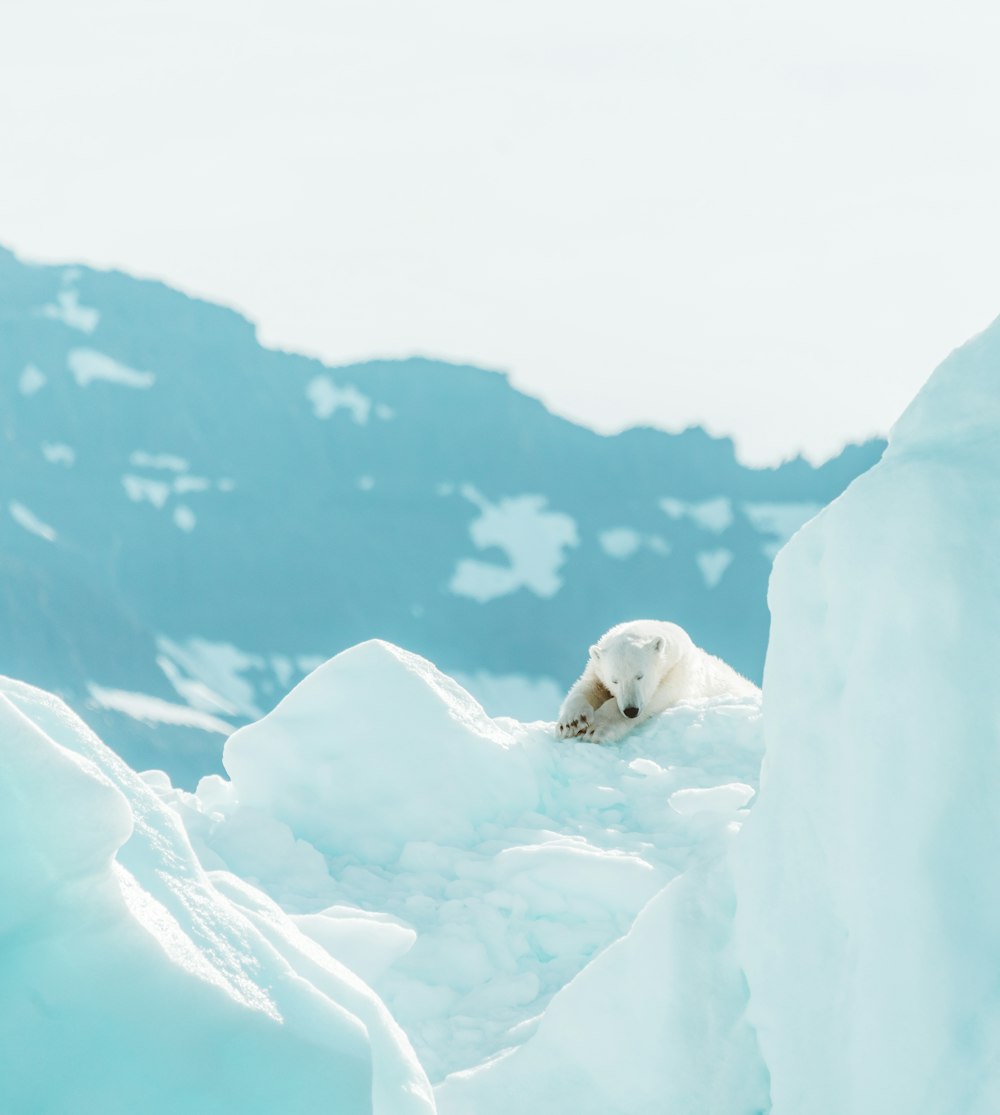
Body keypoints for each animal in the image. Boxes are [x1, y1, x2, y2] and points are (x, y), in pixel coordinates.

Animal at [552, 619, 758, 740]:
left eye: (640, 675)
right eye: (614, 680)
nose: (631, 710)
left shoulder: (679, 674)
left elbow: (656, 697)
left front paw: (597, 728)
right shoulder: (597, 669)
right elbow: (587, 686)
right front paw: (571, 722)